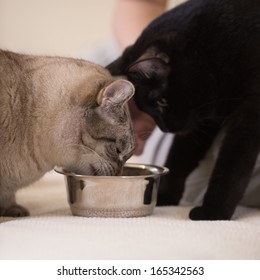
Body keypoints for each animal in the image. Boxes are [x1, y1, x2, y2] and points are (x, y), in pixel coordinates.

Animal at [106, 0, 258, 220]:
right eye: (146, 109)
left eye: (161, 102)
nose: (165, 128)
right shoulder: (201, 122)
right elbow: (179, 157)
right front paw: (163, 196)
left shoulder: (248, 116)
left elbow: (232, 167)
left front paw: (214, 212)